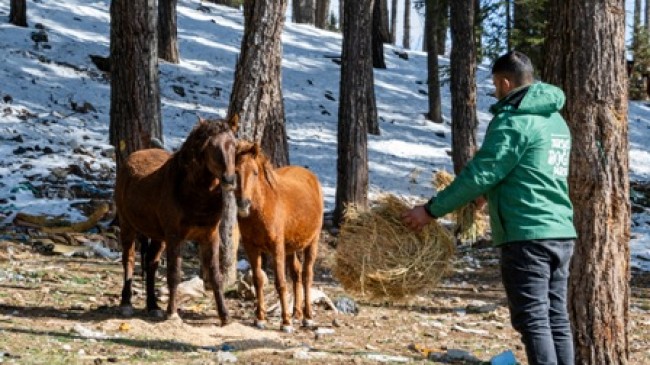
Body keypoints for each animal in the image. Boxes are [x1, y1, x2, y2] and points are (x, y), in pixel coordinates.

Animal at [113, 114, 238, 324]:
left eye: (234, 145)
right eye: (211, 146)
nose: (229, 179)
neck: (193, 194)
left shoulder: (210, 236)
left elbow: (215, 275)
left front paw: (225, 316)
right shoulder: (174, 237)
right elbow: (174, 274)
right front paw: (172, 313)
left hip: (158, 237)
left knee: (151, 264)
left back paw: (153, 306)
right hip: (127, 225)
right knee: (128, 259)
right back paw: (126, 304)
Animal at [234, 140, 322, 332]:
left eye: (255, 172)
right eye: (234, 171)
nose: (243, 204)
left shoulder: (277, 248)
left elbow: (281, 283)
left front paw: (285, 322)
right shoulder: (251, 247)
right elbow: (258, 280)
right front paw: (260, 319)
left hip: (312, 241)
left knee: (307, 275)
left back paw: (307, 317)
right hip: (291, 247)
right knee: (296, 272)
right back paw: (296, 313)